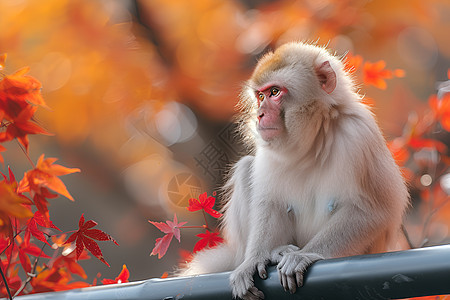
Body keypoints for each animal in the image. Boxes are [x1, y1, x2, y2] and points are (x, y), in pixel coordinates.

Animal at [179, 42, 408, 300]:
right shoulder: (269, 151)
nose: (259, 114)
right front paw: (254, 259)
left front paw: (304, 256)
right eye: (260, 96)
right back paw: (275, 252)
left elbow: (372, 209)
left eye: (275, 92)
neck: (313, 141)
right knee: (247, 168)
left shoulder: (357, 134)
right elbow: (269, 202)